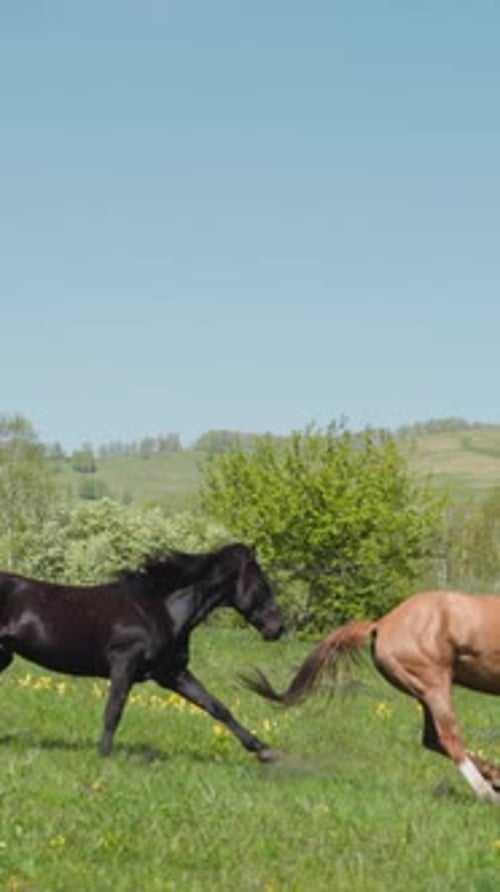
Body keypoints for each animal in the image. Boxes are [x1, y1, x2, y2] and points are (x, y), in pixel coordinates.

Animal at [0, 542, 285, 760]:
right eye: (263, 584)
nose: (278, 627)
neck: (161, 610)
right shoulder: (124, 663)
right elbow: (114, 710)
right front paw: (104, 757)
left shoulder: (171, 673)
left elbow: (216, 706)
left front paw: (263, 749)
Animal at [242, 589, 500, 802]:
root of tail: (382, 623)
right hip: (435, 687)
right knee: (449, 738)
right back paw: (488, 794)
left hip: (425, 692)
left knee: (433, 739)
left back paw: (494, 778)